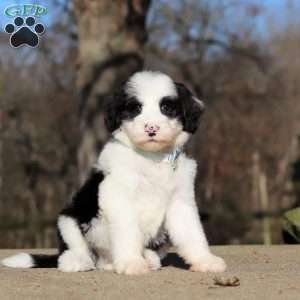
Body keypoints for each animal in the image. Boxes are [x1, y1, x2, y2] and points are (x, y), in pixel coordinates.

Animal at [2, 71, 226, 276]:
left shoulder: (180, 200)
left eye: (167, 108)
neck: (151, 158)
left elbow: (192, 233)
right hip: (70, 217)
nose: (151, 128)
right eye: (135, 109)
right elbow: (127, 232)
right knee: (74, 249)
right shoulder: (119, 196)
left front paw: (206, 261)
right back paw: (78, 261)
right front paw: (132, 263)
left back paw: (145, 259)